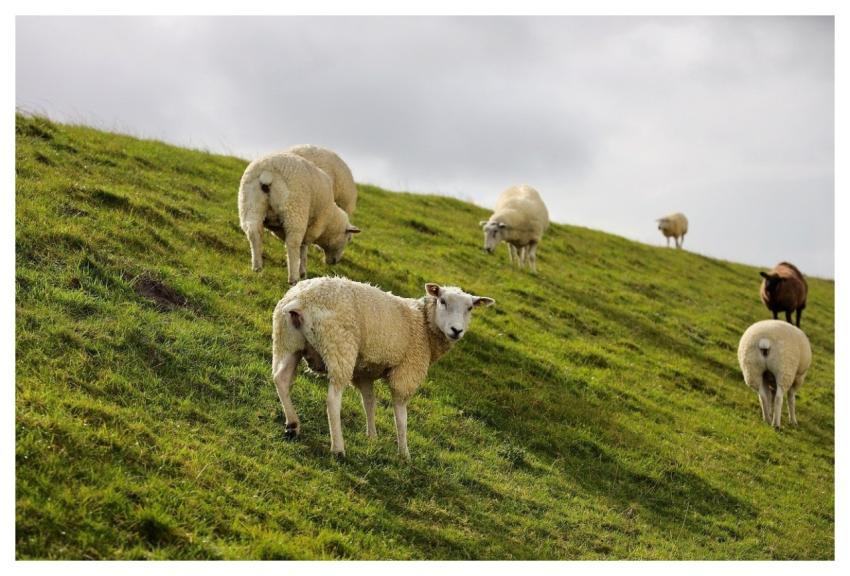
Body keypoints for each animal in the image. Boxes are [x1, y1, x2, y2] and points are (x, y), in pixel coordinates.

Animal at [238, 152, 361, 286]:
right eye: (348, 239)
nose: (334, 262)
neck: (330, 219)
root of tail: (267, 172)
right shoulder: (311, 226)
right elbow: (303, 248)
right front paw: (302, 272)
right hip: (295, 210)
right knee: (292, 243)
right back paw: (293, 278)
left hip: (249, 203)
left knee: (253, 231)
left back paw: (257, 266)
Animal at [271, 276, 495, 458]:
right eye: (443, 301)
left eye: (470, 308)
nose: (456, 330)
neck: (423, 324)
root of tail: (301, 300)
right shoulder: (406, 372)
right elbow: (401, 416)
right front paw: (404, 454)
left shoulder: (365, 372)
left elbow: (369, 402)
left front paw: (372, 437)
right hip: (339, 346)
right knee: (333, 399)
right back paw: (338, 448)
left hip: (287, 341)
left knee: (281, 379)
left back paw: (292, 425)